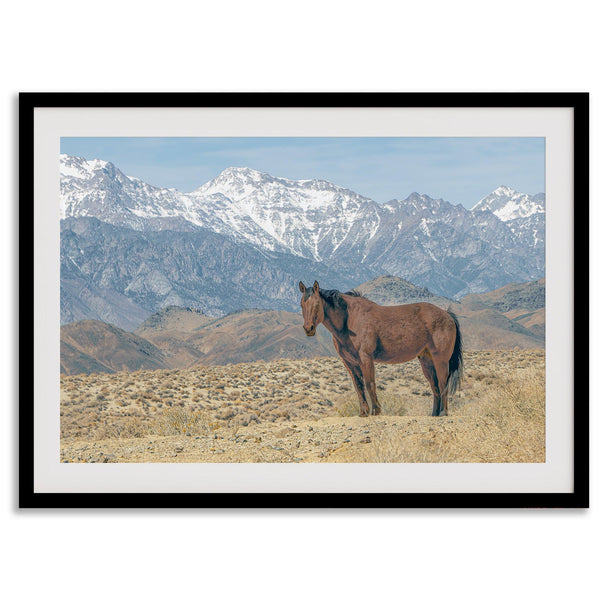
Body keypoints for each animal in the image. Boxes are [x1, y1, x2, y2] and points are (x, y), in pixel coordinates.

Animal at [300, 282, 464, 418]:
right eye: (302, 304)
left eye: (316, 304)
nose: (308, 329)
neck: (349, 319)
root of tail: (447, 315)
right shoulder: (349, 362)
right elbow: (358, 386)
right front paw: (363, 412)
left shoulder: (366, 358)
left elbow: (369, 383)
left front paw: (375, 410)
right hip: (427, 361)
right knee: (435, 386)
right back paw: (434, 413)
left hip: (440, 360)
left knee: (443, 383)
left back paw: (443, 412)